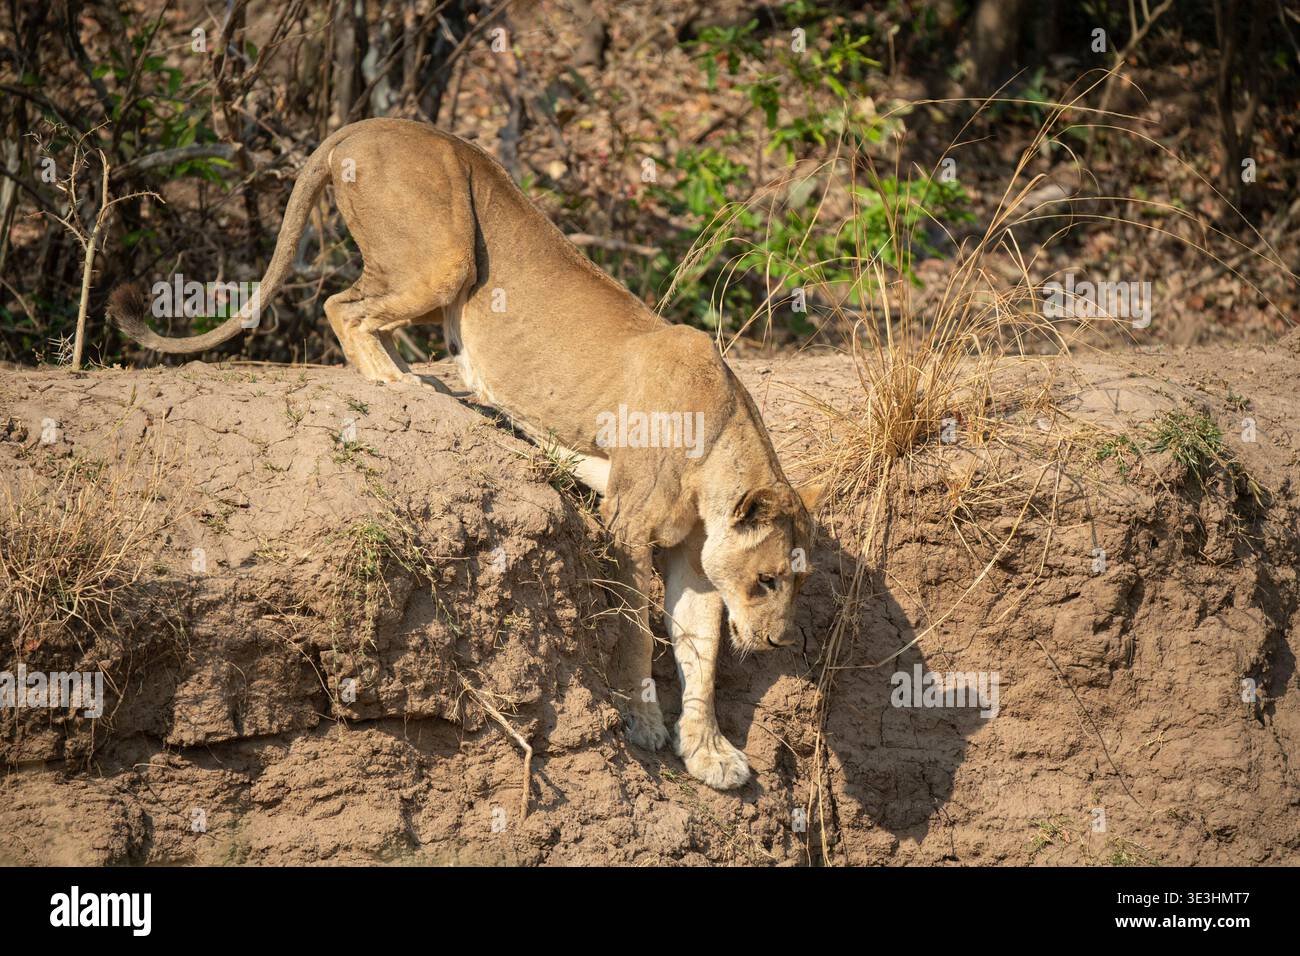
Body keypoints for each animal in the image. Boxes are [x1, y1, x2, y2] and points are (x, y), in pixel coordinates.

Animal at [109, 118, 820, 790]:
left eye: (795, 582)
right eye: (768, 580)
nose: (783, 639)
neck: (719, 448)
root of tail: (373, 123)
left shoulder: (695, 560)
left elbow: (701, 653)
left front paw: (708, 753)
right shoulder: (626, 525)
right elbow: (636, 637)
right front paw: (641, 720)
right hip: (444, 257)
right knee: (341, 304)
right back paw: (397, 384)